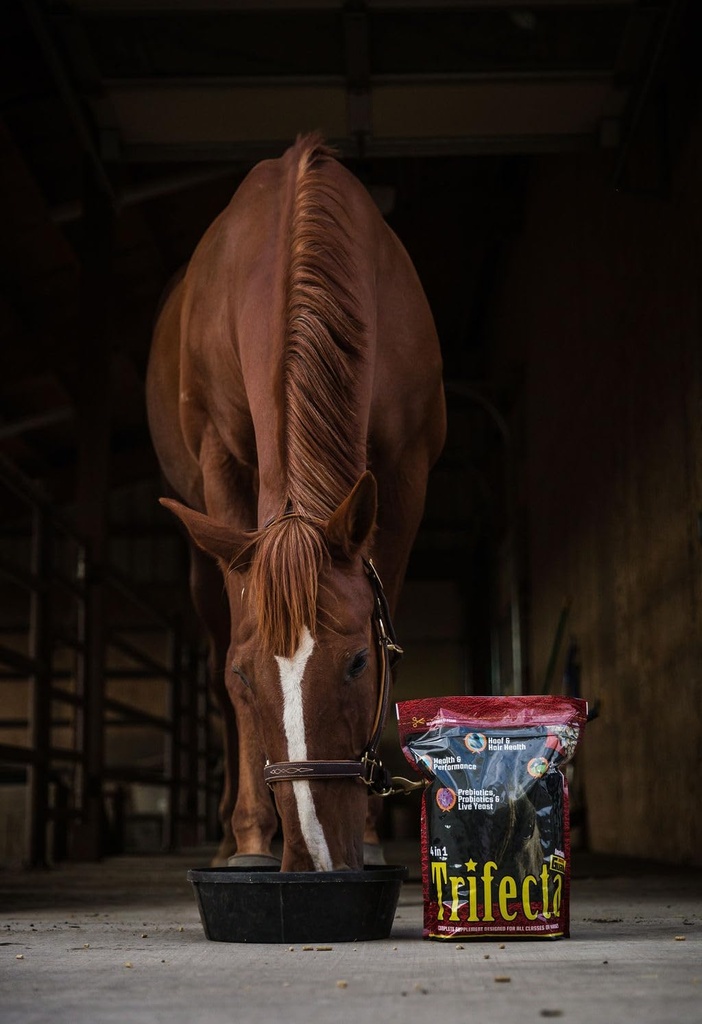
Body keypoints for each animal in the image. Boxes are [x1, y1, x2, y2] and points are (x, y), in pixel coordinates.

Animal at [146, 134, 446, 872]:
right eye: (247, 675)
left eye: (359, 662)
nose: (315, 858)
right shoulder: (223, 465)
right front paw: (255, 838)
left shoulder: (405, 472)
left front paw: (371, 831)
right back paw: (233, 838)